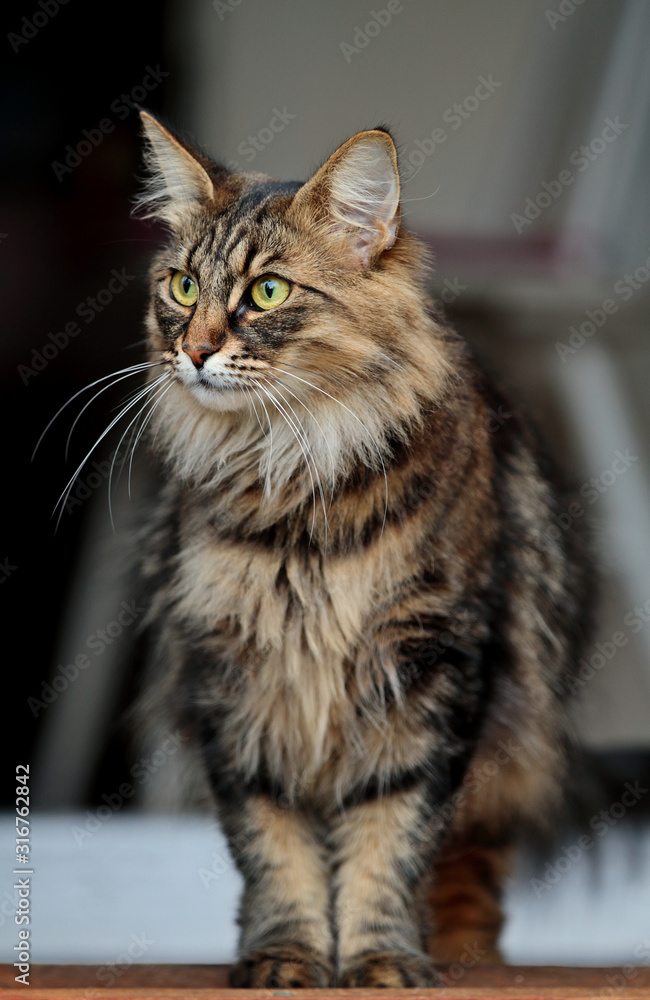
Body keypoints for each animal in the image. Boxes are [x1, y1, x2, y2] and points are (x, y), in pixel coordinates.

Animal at [133, 113, 592, 988]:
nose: (195, 351)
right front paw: (286, 955)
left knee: (471, 880)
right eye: (181, 287)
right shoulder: (232, 676)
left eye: (267, 293)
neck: (295, 482)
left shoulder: (432, 667)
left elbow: (392, 838)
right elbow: (273, 844)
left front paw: (382, 959)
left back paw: (463, 956)